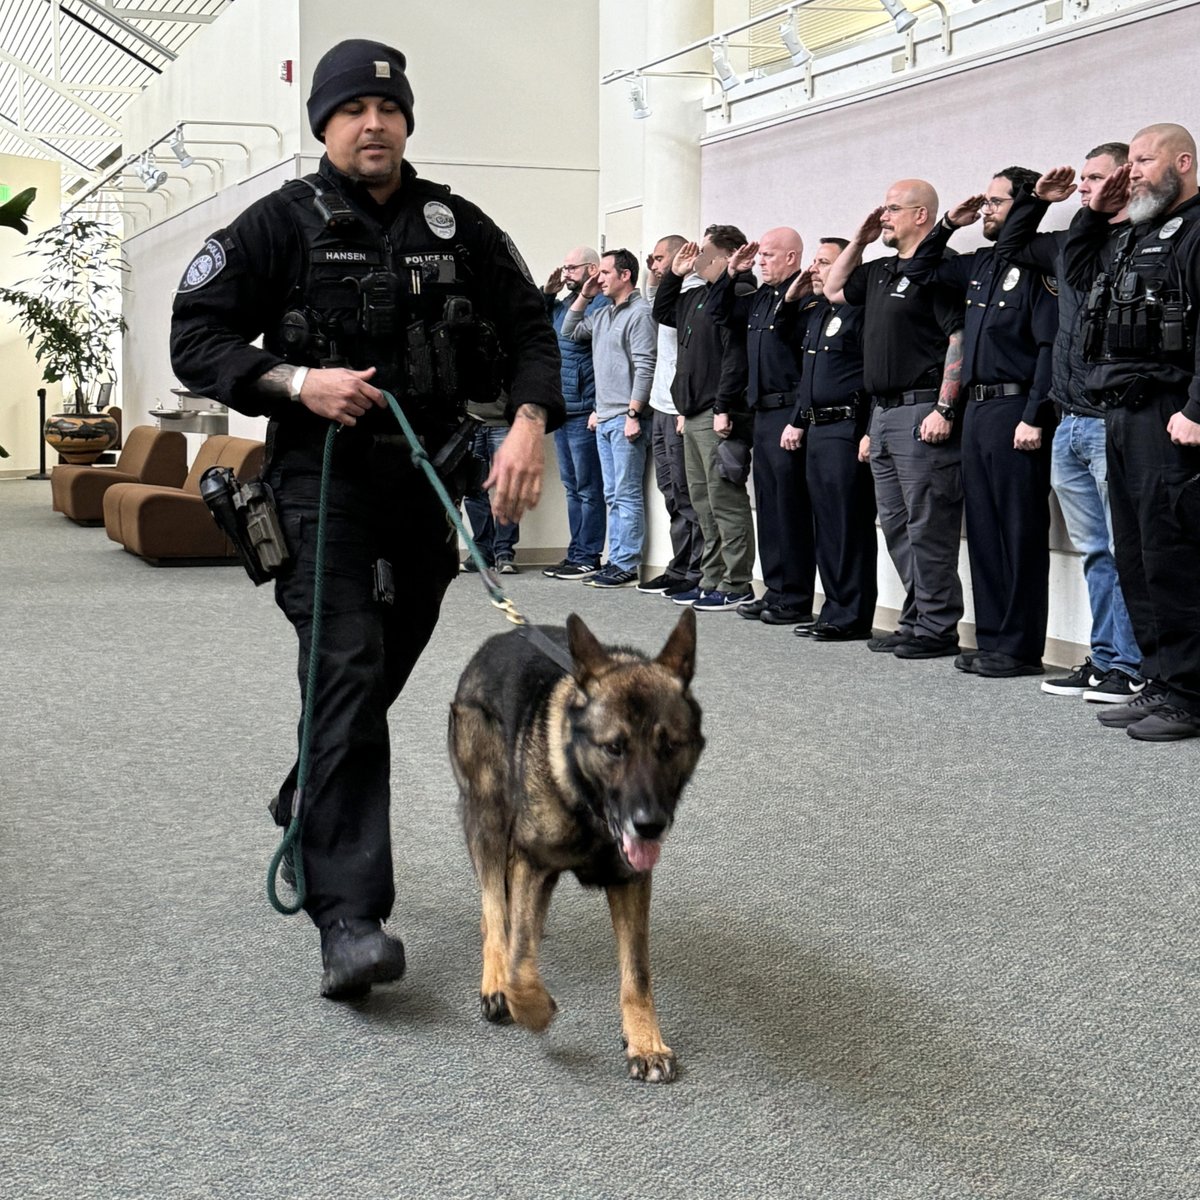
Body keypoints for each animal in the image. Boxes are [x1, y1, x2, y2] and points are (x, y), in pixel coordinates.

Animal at [171, 37, 564, 993]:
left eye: (382, 106)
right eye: (354, 109)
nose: (376, 122)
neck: (374, 208)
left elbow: (529, 321)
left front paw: (517, 457)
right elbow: (199, 327)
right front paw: (349, 921)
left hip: (419, 580)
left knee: (388, 658)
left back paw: (292, 803)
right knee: (352, 677)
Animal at [451, 609, 700, 1089]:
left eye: (669, 747)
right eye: (614, 748)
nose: (650, 825)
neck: (588, 805)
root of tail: (497, 639)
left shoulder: (630, 882)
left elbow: (637, 975)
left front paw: (645, 1041)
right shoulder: (532, 865)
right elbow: (520, 967)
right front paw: (529, 1005)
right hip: (488, 815)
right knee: (494, 907)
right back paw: (495, 973)